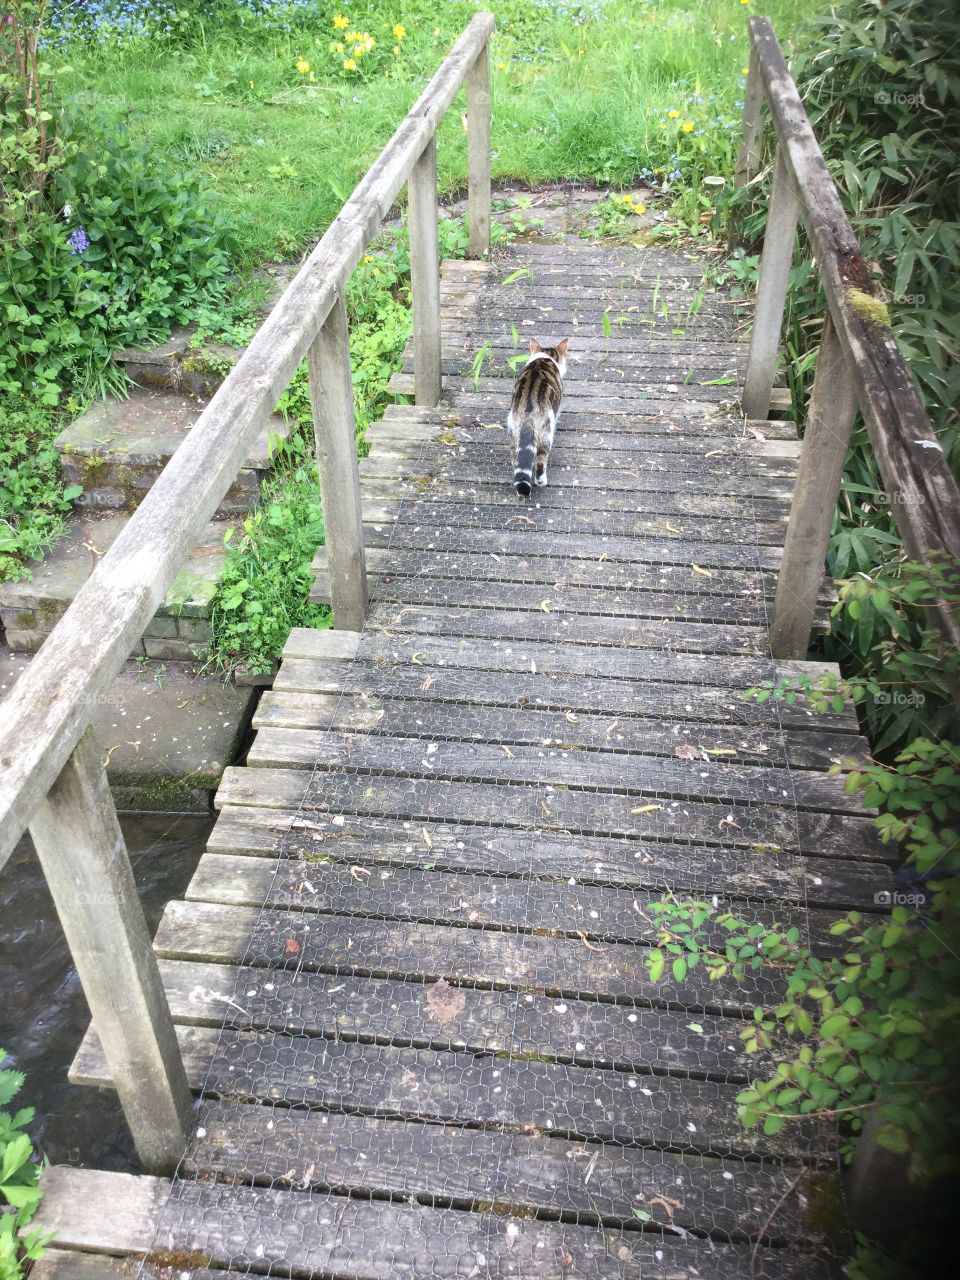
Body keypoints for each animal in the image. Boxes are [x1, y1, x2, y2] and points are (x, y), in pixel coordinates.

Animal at [506, 337, 568, 496]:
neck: (544, 357)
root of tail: (529, 414)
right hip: (546, 433)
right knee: (541, 460)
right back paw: (541, 481)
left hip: (513, 431)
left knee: (516, 459)